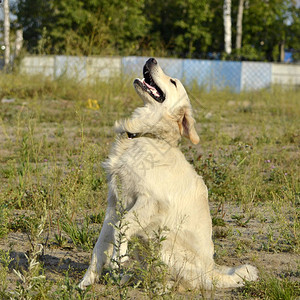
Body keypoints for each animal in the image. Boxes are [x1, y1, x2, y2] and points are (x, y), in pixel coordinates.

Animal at [78, 57, 258, 290]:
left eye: (173, 82)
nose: (151, 59)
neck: (146, 135)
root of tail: (211, 273)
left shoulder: (150, 201)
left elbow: (122, 226)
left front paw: (120, 257)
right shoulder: (114, 202)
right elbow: (100, 245)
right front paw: (85, 282)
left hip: (162, 244)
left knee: (177, 283)